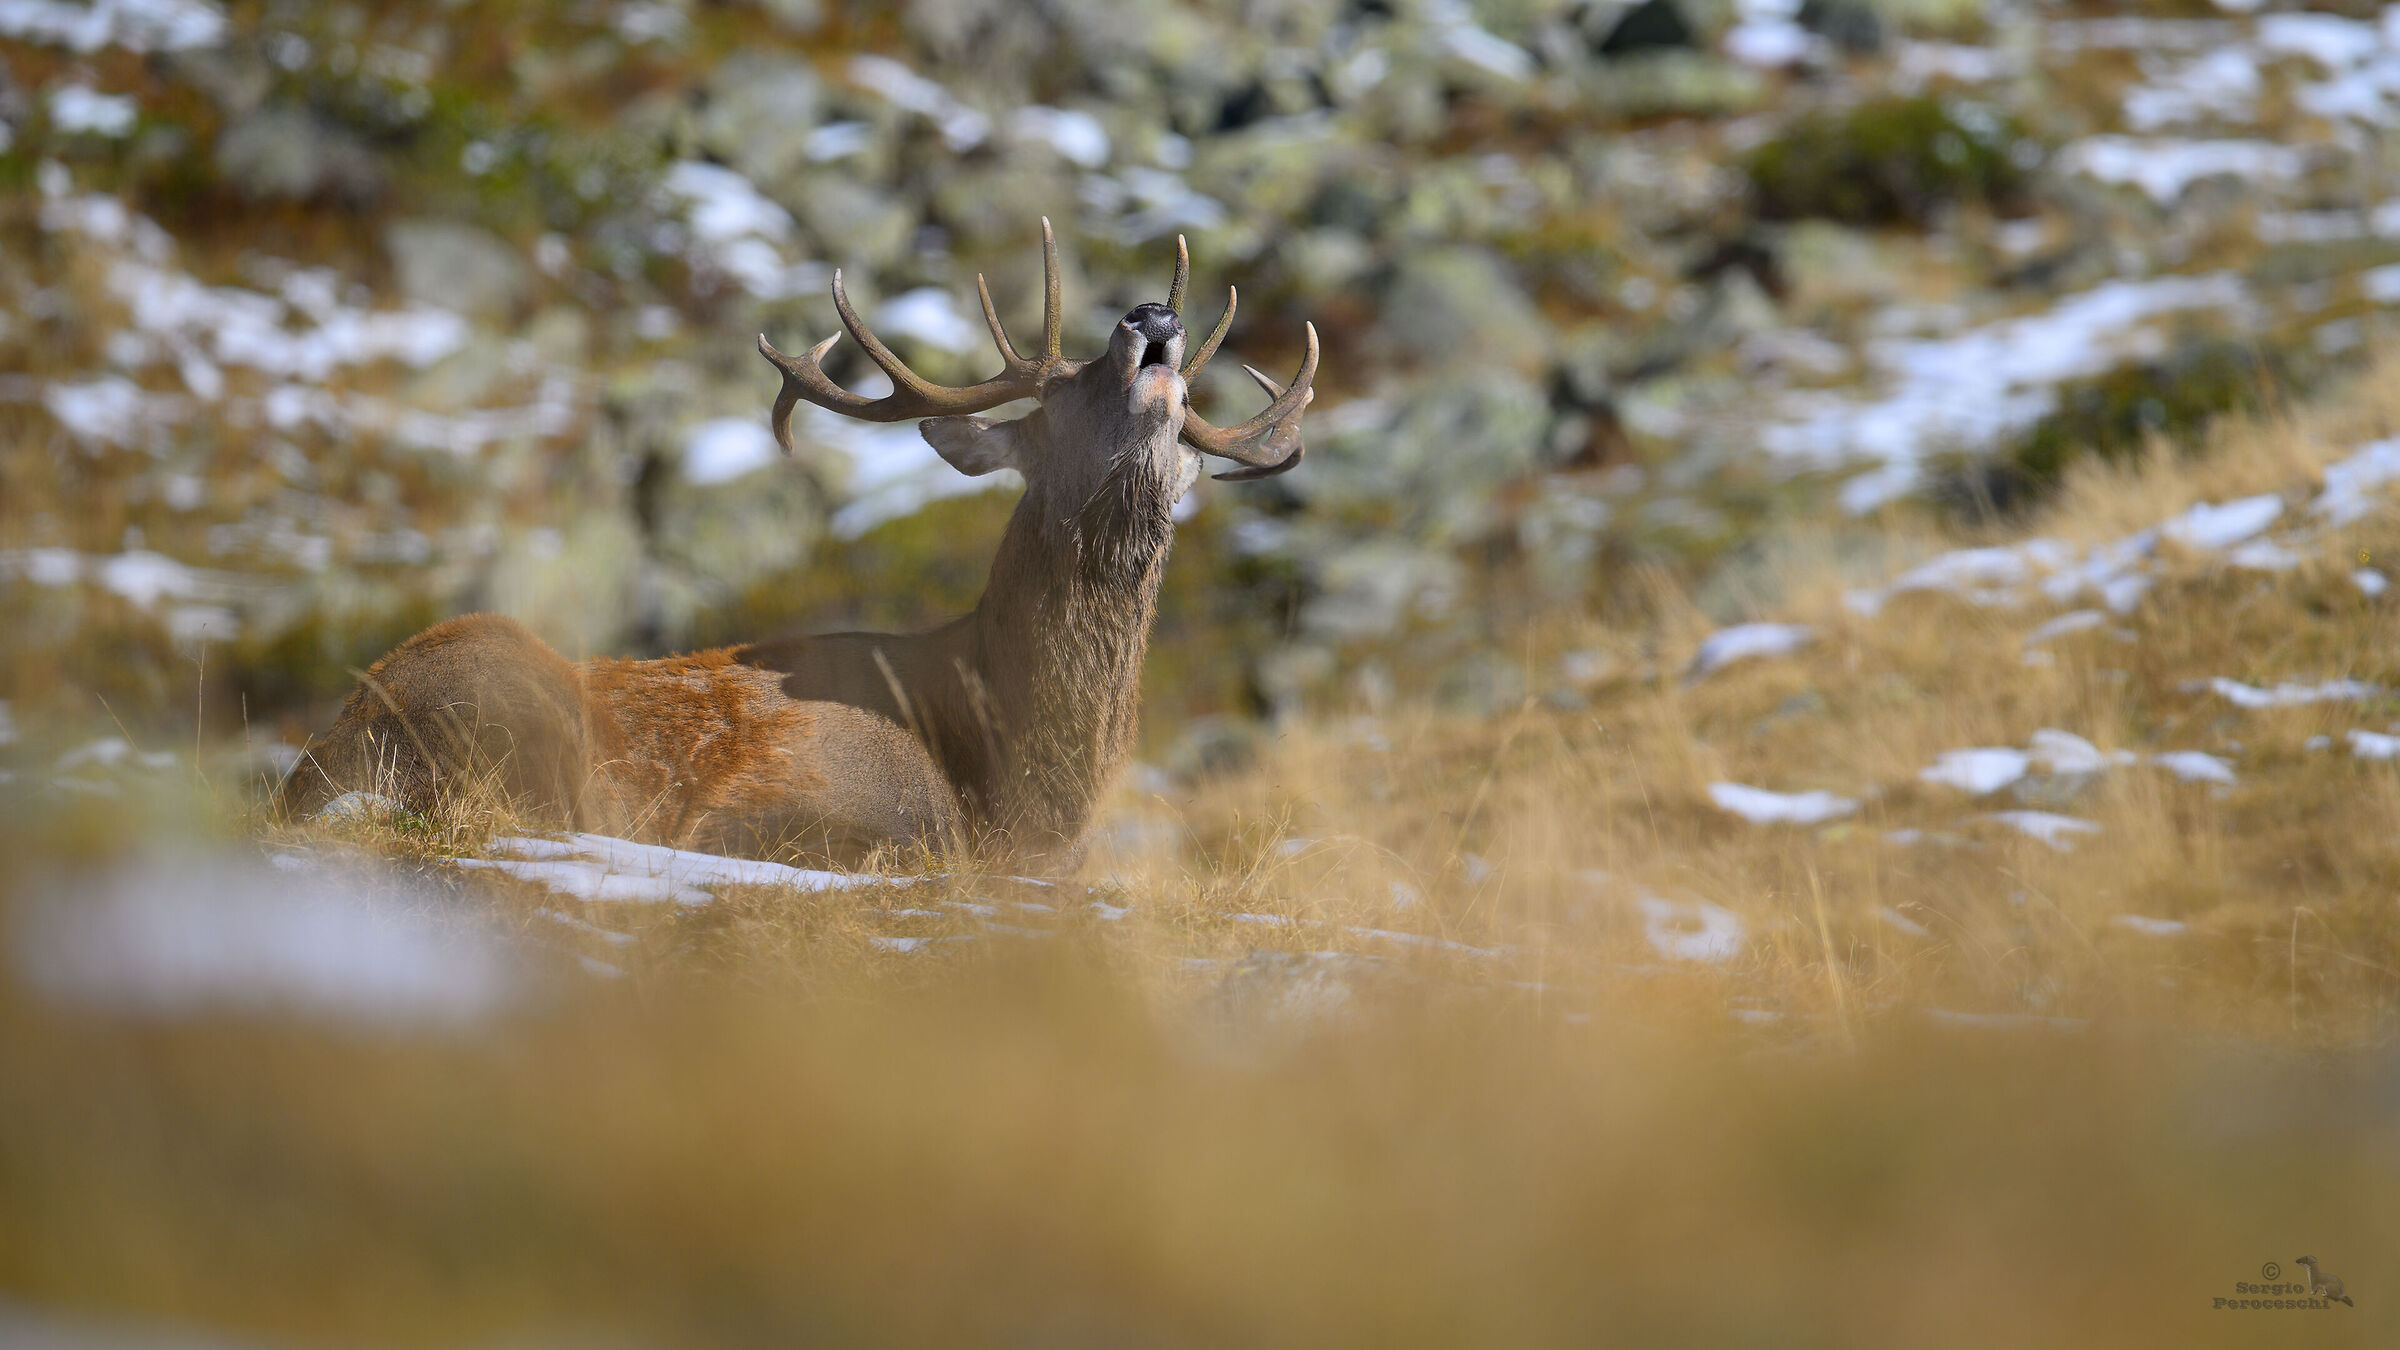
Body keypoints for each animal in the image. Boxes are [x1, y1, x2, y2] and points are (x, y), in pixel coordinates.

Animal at [278, 223, 1317, 874]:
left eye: (1185, 411)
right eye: (1059, 399)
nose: (1153, 316)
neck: (1014, 778)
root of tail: (313, 759)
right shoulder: (787, 799)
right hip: (514, 710)